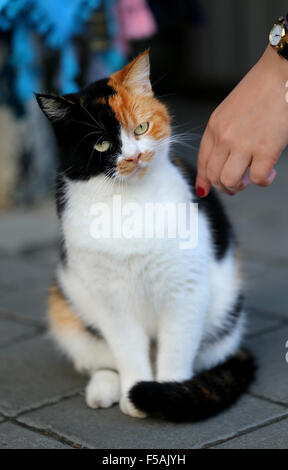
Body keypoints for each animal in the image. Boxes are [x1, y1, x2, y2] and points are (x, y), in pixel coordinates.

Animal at [35, 49, 254, 420]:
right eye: (101, 143)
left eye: (141, 127)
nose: (134, 156)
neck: (129, 201)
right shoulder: (111, 301)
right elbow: (127, 350)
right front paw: (134, 394)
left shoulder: (185, 288)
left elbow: (176, 349)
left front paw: (166, 393)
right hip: (63, 304)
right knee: (100, 357)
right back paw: (105, 389)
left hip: (225, 318)